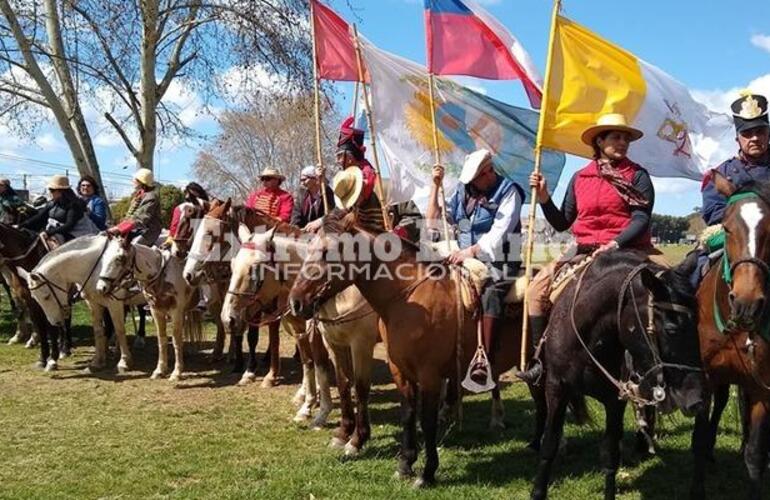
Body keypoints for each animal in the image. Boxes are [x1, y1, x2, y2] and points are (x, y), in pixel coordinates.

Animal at [18, 234, 146, 372]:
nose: (56, 322)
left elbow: (120, 329)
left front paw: (124, 361)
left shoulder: (114, 303)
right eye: (35, 298)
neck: (96, 268)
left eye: (46, 296)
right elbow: (98, 331)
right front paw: (98, 361)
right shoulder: (94, 303)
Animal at [95, 236, 196, 380]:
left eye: (120, 258)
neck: (161, 275)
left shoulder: (176, 311)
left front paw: (177, 372)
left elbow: (176, 339)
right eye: (104, 257)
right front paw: (160, 370)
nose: (100, 288)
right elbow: (162, 339)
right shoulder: (156, 311)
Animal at [288, 211, 520, 488]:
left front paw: (426, 473)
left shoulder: (425, 372)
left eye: (327, 251)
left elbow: (424, 419)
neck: (408, 300)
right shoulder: (397, 368)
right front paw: (405, 464)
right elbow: (406, 413)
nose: (296, 302)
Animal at [528, 252, 704, 498]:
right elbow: (549, 443)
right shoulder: (556, 387)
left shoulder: (615, 399)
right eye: (671, 329)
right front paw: (538, 491)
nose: (697, 400)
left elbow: (610, 455)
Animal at [688, 174, 770, 498]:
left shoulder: (762, 388)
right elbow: (698, 440)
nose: (746, 302)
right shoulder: (706, 377)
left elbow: (756, 455)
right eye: (726, 227)